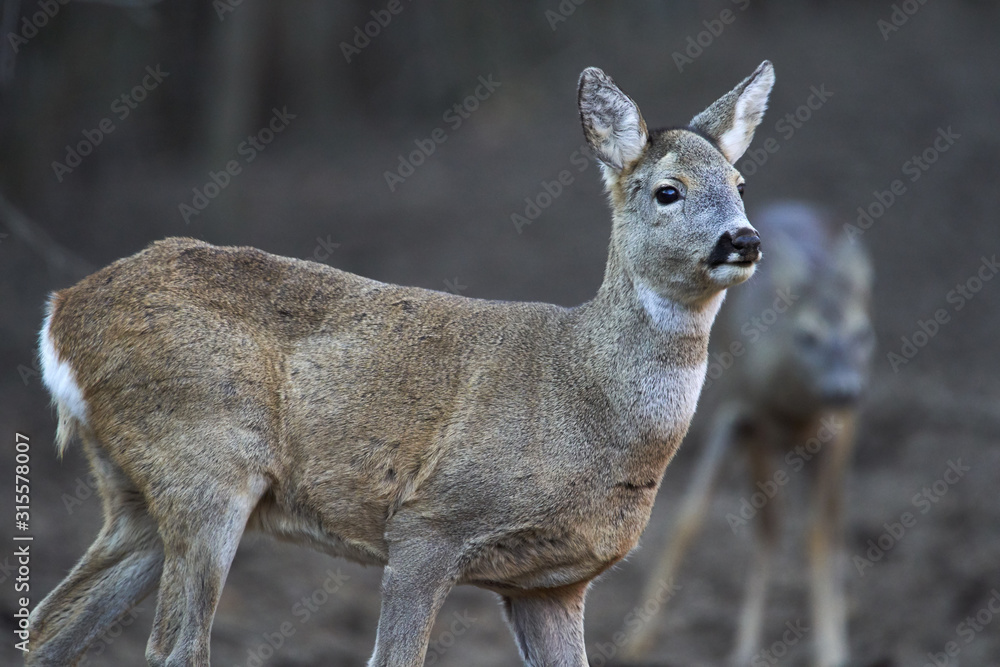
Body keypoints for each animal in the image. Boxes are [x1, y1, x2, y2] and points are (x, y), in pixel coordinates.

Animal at [28, 61, 774, 667]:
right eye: (668, 191)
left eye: (740, 183)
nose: (743, 238)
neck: (582, 393)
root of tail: (60, 315)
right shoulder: (429, 522)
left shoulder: (555, 583)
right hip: (206, 458)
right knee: (174, 647)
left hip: (135, 491)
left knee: (49, 626)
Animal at [621, 201, 875, 667]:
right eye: (807, 335)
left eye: (862, 333)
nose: (843, 389)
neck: (790, 408)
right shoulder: (743, 416)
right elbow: (703, 517)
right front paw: (640, 640)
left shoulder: (830, 432)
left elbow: (814, 532)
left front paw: (831, 651)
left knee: (834, 514)